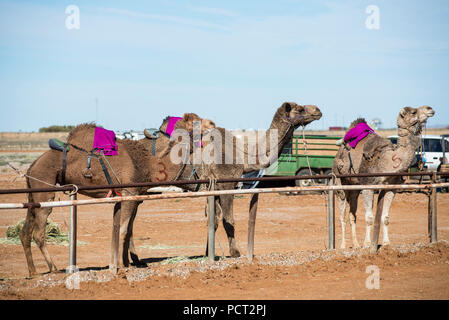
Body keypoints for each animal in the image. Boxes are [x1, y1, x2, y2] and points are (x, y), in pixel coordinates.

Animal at [21, 113, 215, 278]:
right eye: (194, 122)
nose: (212, 124)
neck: (148, 163)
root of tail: (32, 166)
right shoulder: (130, 194)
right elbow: (123, 230)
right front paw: (123, 266)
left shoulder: (125, 198)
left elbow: (123, 230)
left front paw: (124, 263)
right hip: (44, 192)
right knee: (38, 233)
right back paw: (53, 268)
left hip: (33, 195)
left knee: (25, 232)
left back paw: (33, 272)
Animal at [332, 106, 434, 251]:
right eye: (414, 111)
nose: (430, 109)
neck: (388, 162)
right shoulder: (368, 187)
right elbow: (369, 217)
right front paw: (367, 244)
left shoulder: (391, 188)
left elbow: (385, 217)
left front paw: (386, 243)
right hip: (339, 181)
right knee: (342, 214)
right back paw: (343, 246)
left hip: (354, 189)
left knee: (352, 214)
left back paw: (356, 245)